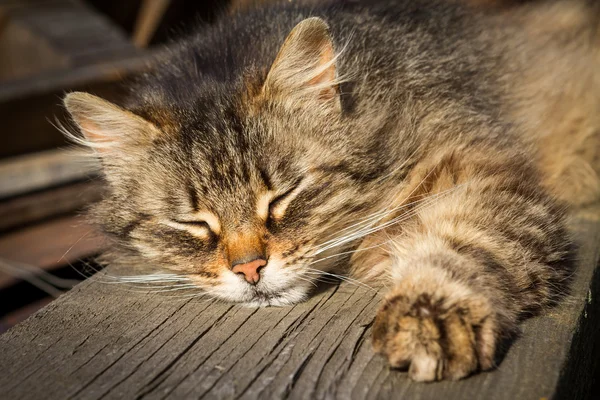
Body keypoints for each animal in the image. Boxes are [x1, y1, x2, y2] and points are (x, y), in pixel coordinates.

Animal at [62, 0, 600, 382]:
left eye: (284, 196)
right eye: (193, 224)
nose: (250, 270)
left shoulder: (478, 172)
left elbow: (461, 246)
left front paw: (428, 316)